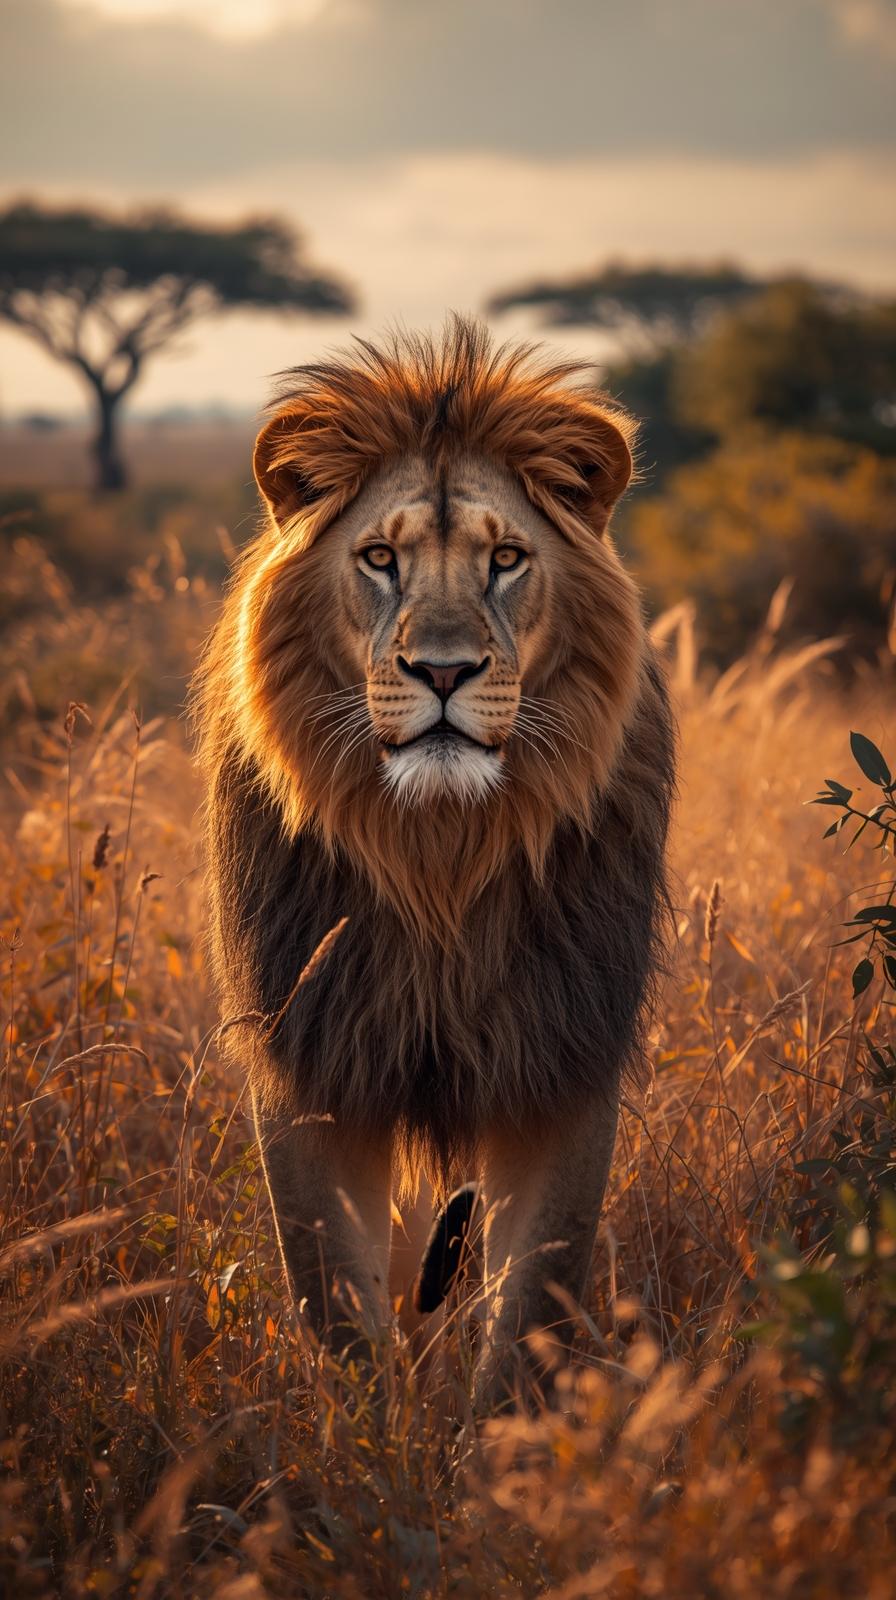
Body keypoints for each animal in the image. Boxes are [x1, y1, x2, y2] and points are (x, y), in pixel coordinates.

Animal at [194, 318, 674, 1408]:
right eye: (379, 558)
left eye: (506, 558)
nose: (444, 671)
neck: (437, 858)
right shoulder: (311, 1056)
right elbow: (333, 1298)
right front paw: (372, 1437)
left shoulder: (562, 1057)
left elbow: (532, 1303)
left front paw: (502, 1445)